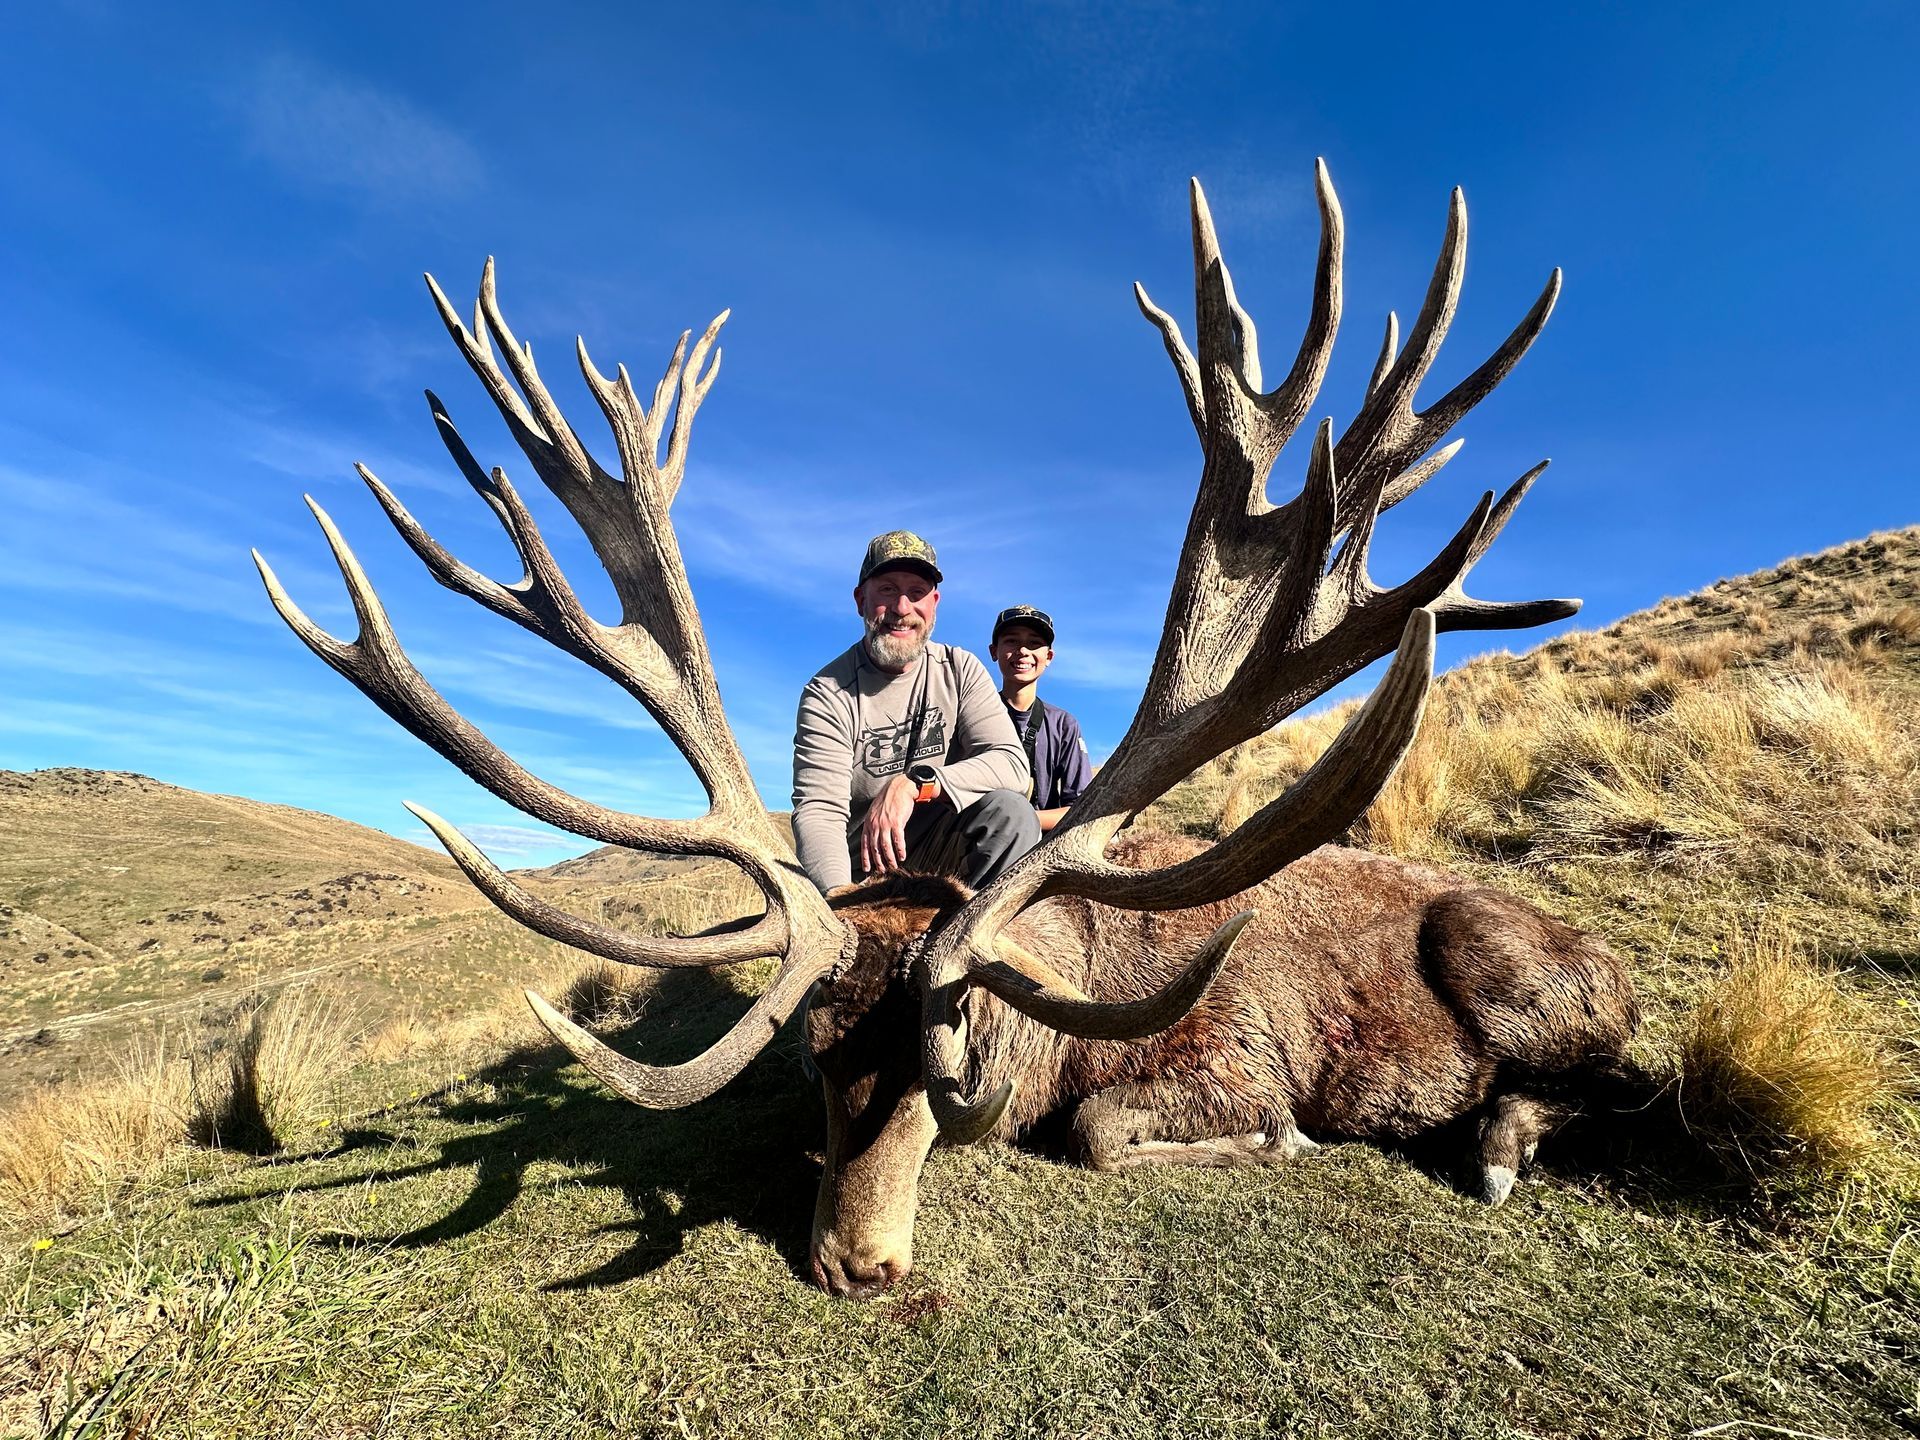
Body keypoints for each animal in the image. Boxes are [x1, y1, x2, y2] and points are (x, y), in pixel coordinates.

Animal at [255, 160, 1639, 1300]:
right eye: (814, 1057)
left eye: (948, 1057)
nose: (852, 1264)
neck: (1067, 998)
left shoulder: (1233, 1047)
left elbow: (1107, 1131)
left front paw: (1280, 1138)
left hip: (1509, 965)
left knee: (1613, 1073)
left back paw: (1499, 1144)